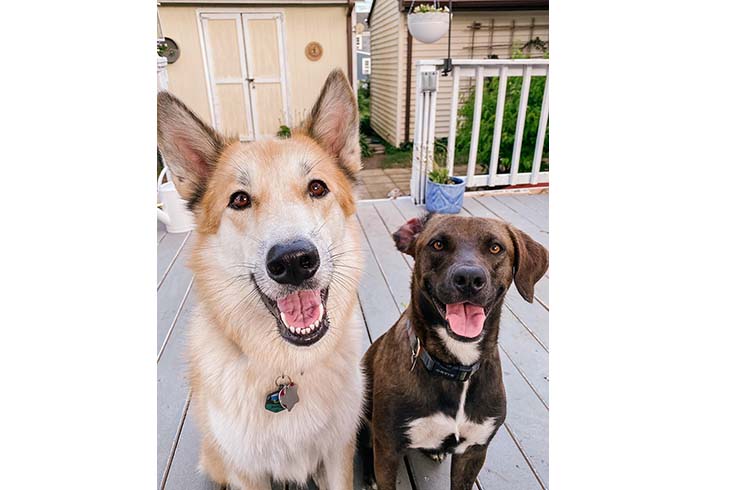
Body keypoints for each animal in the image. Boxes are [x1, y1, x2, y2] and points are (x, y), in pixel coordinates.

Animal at [158, 70, 366, 490]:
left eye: (317, 187)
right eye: (239, 200)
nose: (294, 261)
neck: (287, 368)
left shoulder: (338, 455)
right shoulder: (247, 472)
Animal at [360, 212, 548, 488]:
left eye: (495, 248)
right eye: (437, 244)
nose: (469, 279)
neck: (455, 364)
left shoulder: (473, 451)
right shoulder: (388, 448)